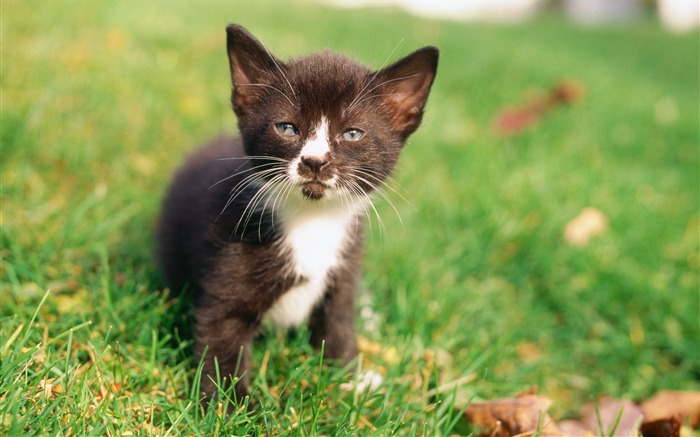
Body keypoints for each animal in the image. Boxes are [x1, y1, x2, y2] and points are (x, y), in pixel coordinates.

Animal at [157, 23, 438, 404]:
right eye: (287, 127)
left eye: (352, 133)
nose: (315, 161)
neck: (312, 221)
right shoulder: (228, 265)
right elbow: (222, 340)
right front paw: (228, 407)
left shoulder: (343, 268)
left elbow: (338, 327)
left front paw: (350, 380)